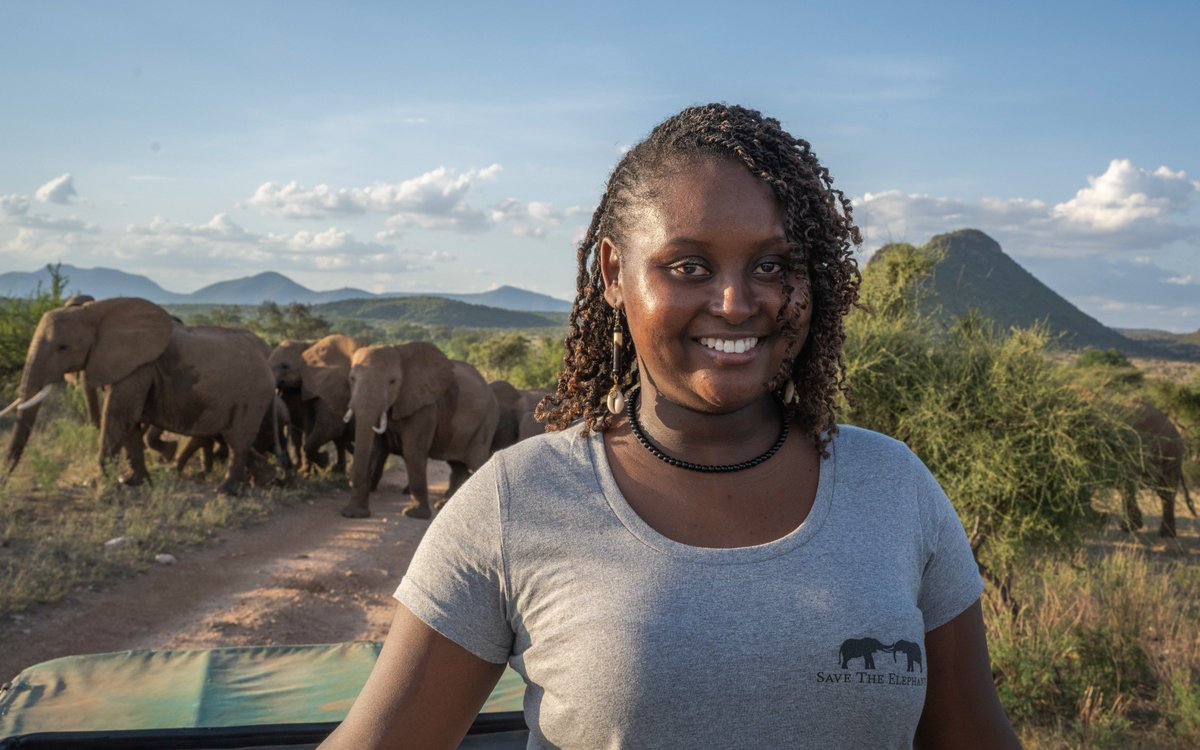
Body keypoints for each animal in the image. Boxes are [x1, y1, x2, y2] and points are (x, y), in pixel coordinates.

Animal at [1, 298, 277, 495]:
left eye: (63, 347)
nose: (4, 481)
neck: (95, 312)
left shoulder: (138, 367)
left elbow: (118, 415)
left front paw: (98, 484)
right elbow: (129, 422)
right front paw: (134, 482)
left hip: (253, 394)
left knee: (238, 440)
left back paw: (226, 491)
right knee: (234, 439)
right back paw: (265, 479)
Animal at [268, 335, 363, 475]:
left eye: (285, 366)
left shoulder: (329, 391)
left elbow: (329, 426)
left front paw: (320, 463)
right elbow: (306, 426)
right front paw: (305, 469)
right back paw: (337, 471)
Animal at [342, 342, 499, 519]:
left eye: (392, 381)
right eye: (352, 379)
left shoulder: (425, 407)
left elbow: (412, 451)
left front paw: (414, 514)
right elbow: (374, 450)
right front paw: (354, 514)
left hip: (487, 421)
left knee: (477, 460)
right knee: (457, 466)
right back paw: (444, 506)